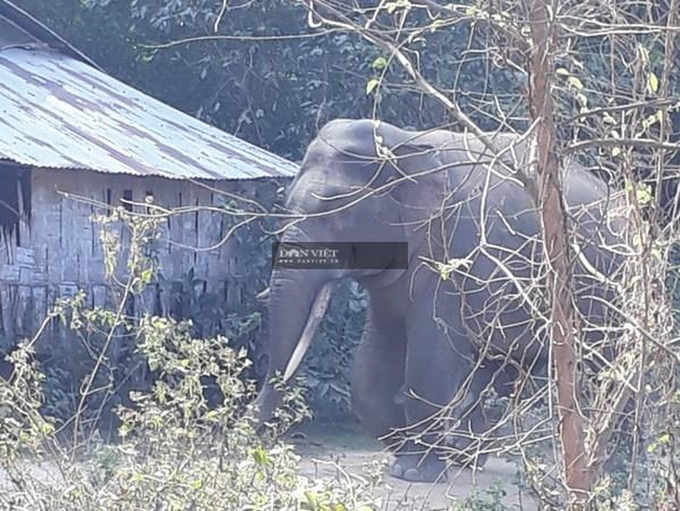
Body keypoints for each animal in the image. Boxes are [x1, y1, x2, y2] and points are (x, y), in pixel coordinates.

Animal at [254, 118, 627, 482]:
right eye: (286, 206)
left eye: (339, 213)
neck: (404, 142)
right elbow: (373, 363)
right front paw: (414, 450)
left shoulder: (453, 253)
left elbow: (430, 357)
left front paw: (414, 471)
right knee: (501, 368)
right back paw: (465, 455)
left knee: (607, 372)